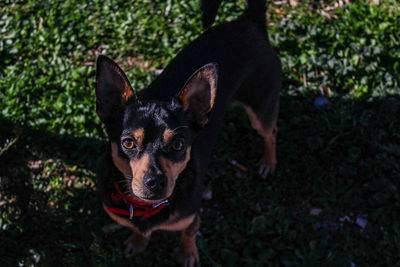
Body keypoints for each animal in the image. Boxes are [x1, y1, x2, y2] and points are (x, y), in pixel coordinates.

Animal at [94, 0, 282, 266]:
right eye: (128, 143)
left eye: (178, 145)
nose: (155, 182)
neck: (147, 207)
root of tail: (250, 21)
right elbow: (139, 230)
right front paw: (138, 242)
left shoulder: (192, 216)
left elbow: (189, 233)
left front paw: (187, 255)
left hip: (261, 109)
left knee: (271, 131)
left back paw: (268, 162)